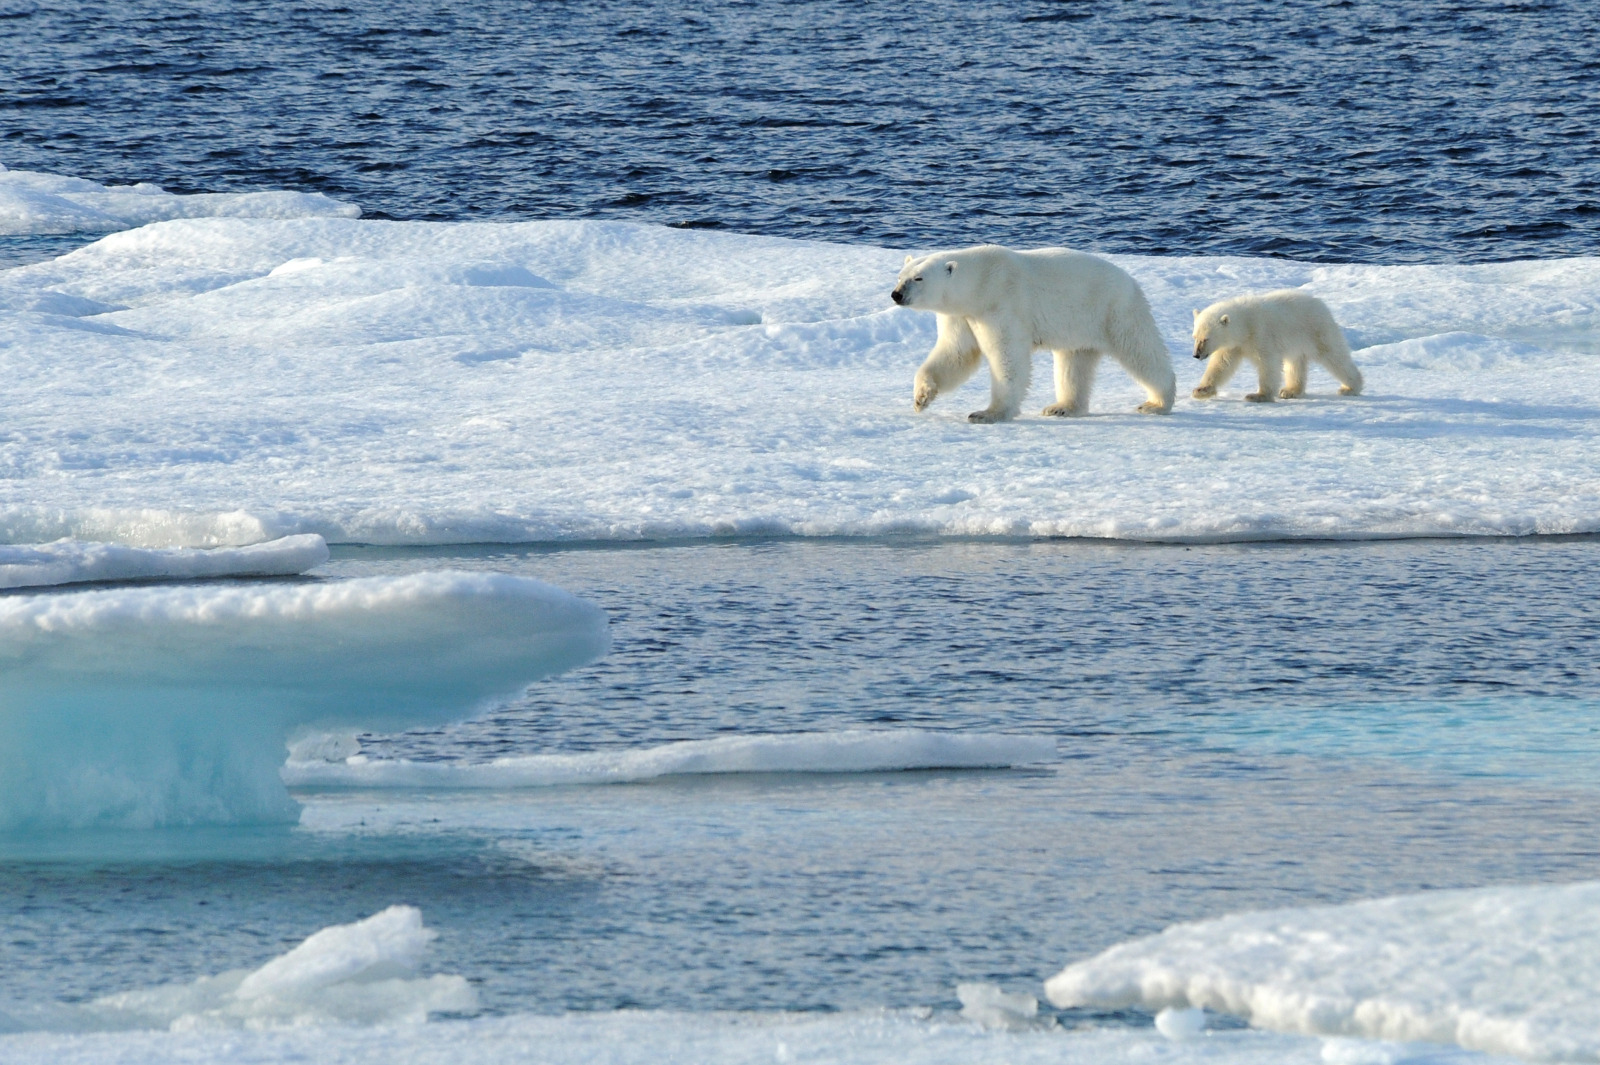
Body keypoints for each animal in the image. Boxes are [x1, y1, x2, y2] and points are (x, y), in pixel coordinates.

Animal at [896, 243, 1171, 422]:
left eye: (919, 278)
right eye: (900, 276)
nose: (896, 294)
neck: (980, 281)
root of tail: (1131, 281)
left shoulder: (1002, 303)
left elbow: (1006, 356)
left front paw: (988, 413)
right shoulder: (962, 315)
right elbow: (957, 353)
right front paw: (921, 397)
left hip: (1114, 310)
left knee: (1141, 351)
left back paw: (1157, 402)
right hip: (1079, 327)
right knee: (1073, 364)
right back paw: (1061, 407)